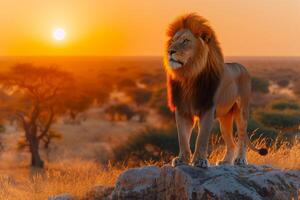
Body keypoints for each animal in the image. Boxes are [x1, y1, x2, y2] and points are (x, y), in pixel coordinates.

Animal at [164, 12, 268, 169]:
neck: (189, 76)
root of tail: (241, 67)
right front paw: (181, 159)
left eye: (185, 41)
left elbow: (201, 139)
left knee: (242, 138)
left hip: (242, 111)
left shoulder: (207, 109)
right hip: (225, 118)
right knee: (231, 142)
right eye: (173, 41)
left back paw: (240, 160)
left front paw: (200, 161)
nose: (170, 51)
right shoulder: (182, 110)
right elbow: (182, 138)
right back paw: (225, 161)